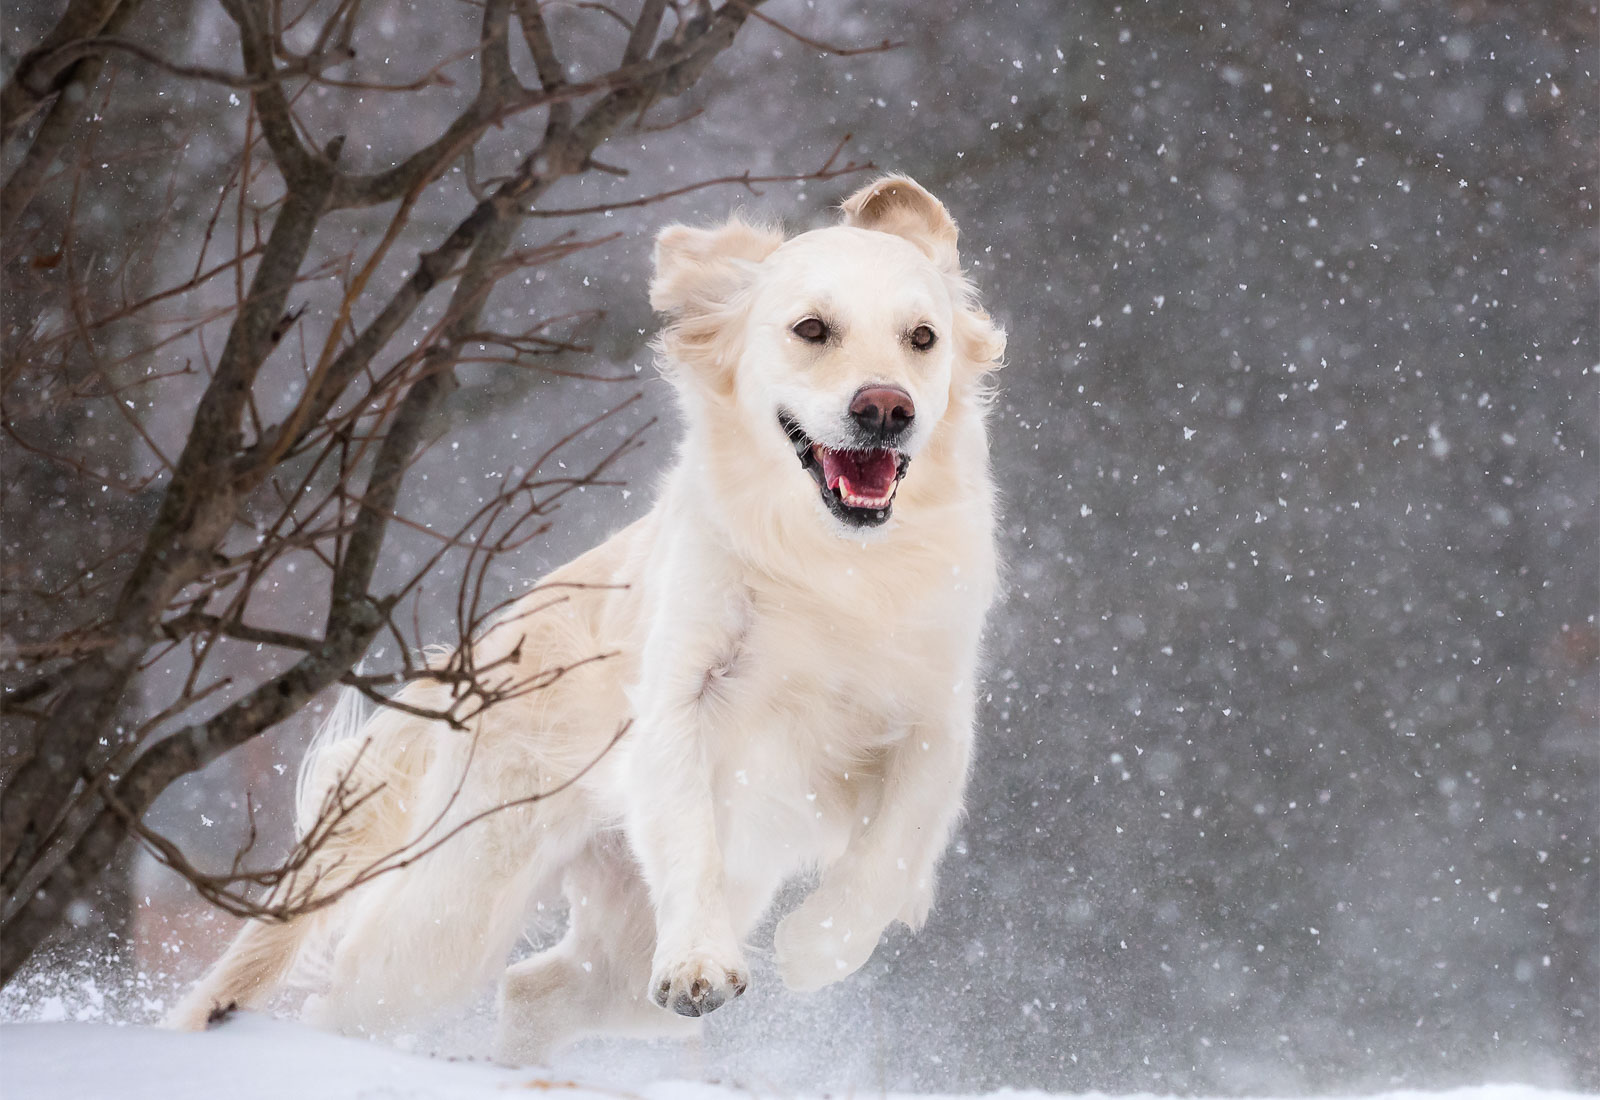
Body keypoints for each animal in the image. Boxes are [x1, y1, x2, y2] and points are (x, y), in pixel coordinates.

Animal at [168, 174, 1004, 1055]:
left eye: (923, 338)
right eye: (812, 328)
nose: (886, 408)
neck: (834, 563)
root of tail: (474, 651)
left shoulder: (936, 717)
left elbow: (895, 848)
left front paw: (814, 949)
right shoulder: (682, 700)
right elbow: (688, 835)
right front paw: (702, 966)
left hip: (616, 952)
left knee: (533, 988)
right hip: (453, 909)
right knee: (350, 996)